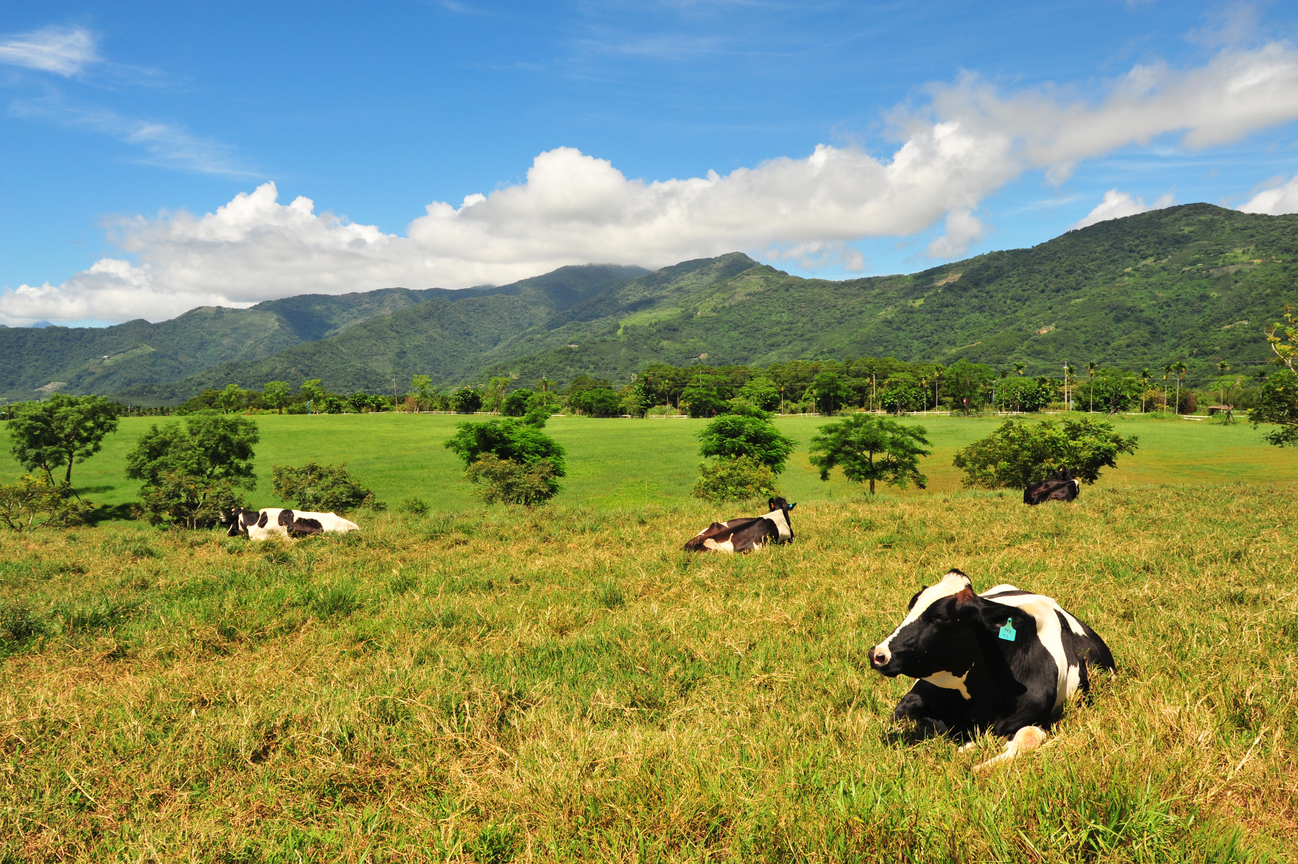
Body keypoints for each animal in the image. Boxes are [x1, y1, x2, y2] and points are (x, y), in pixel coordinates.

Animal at [867, 565, 1111, 767]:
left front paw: (975, 763)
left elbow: (1027, 737)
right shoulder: (913, 698)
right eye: (912, 605)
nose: (878, 654)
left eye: (942, 617)